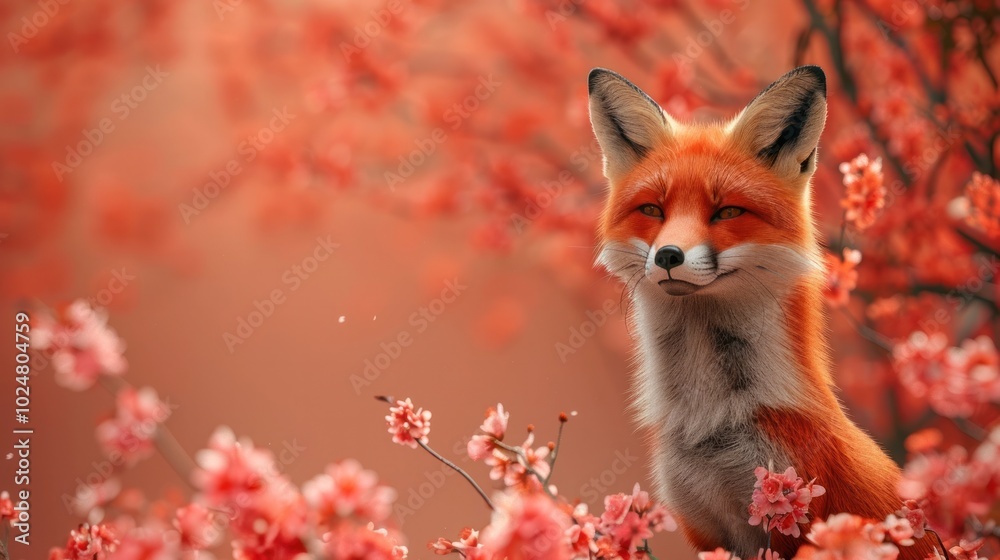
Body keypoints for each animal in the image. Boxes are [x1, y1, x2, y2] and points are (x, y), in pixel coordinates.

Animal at [588, 66, 936, 558]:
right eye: (653, 209)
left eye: (728, 211)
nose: (669, 255)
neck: (710, 423)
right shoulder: (703, 526)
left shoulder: (792, 515)